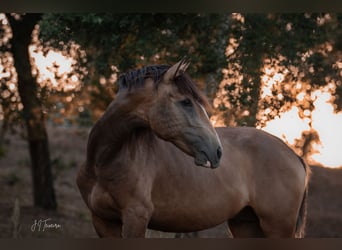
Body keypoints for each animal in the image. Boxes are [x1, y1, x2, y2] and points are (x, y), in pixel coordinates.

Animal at [77, 57, 310, 237]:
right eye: (186, 102)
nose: (217, 151)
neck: (105, 161)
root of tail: (294, 156)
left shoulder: (136, 218)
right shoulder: (102, 221)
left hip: (277, 227)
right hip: (245, 225)